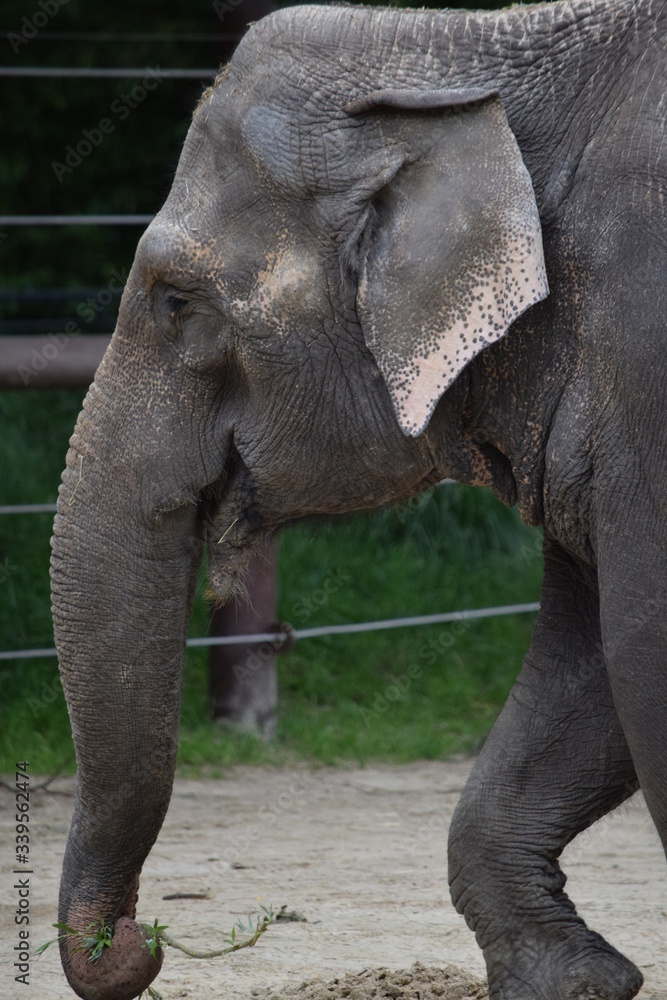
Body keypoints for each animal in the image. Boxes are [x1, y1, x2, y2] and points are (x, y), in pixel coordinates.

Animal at [50, 0, 666, 997]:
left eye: (176, 300)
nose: (143, 947)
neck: (460, 52)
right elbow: (599, 652)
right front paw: (575, 980)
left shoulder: (646, 363)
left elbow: (644, 656)